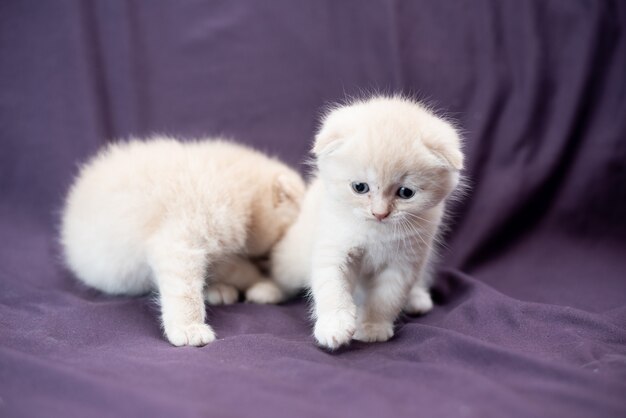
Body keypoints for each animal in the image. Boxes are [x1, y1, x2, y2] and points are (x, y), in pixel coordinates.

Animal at [270, 96, 460, 348]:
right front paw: (334, 326)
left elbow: (386, 298)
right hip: (293, 259)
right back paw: (267, 291)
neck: (376, 232)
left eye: (406, 192)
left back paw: (417, 298)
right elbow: (332, 288)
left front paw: (372, 327)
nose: (380, 213)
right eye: (360, 187)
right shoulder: (334, 247)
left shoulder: (405, 262)